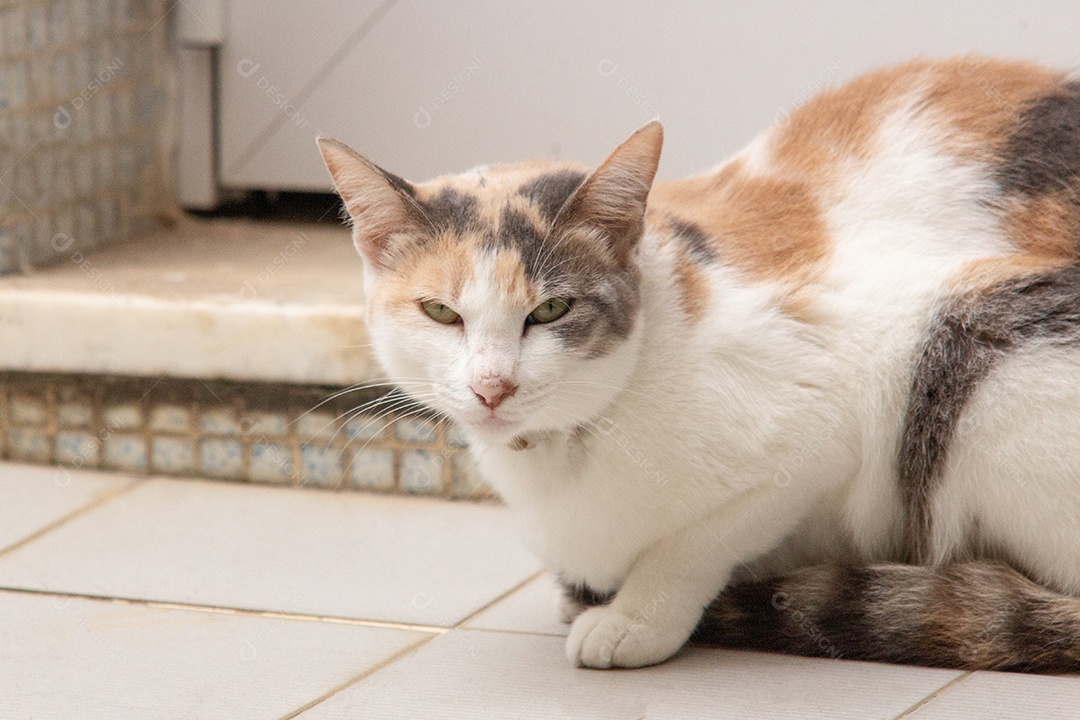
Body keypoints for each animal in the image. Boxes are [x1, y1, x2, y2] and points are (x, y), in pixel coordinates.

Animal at [319, 57, 1080, 677]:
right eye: (440, 313)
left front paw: (635, 617)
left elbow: (696, 541)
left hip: (969, 345)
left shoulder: (825, 423)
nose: (492, 386)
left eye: (552, 309)